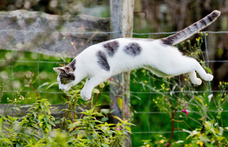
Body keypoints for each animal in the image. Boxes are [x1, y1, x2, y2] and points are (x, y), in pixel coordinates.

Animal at [53, 10, 221, 100]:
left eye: (62, 80)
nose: (60, 88)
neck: (82, 65)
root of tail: (162, 40)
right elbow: (88, 82)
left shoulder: (102, 72)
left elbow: (88, 84)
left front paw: (85, 94)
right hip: (163, 71)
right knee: (188, 64)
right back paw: (197, 80)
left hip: (168, 67)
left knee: (193, 61)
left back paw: (207, 77)